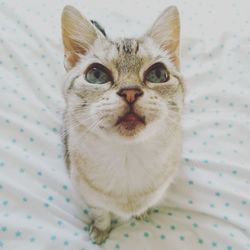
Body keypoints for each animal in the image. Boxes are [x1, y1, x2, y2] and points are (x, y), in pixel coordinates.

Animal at [61, 4, 185, 245]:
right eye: (96, 74)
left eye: (158, 73)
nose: (130, 91)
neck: (128, 157)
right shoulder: (91, 198)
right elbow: (101, 213)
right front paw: (101, 230)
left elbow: (148, 203)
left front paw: (142, 212)